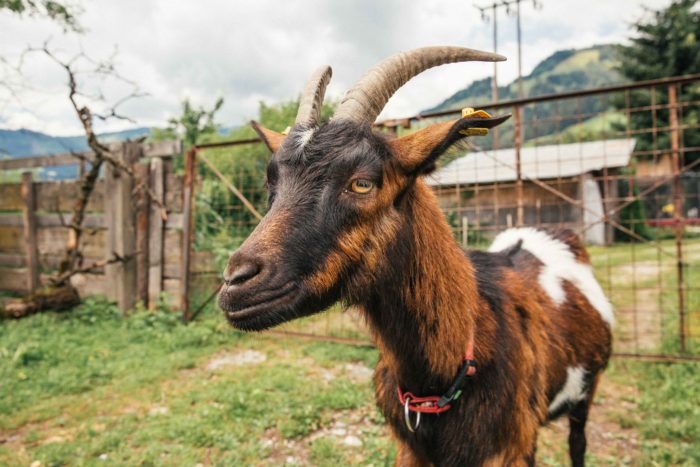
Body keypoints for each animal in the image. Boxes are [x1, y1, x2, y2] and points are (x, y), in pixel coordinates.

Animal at [218, 46, 613, 466]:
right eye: (271, 182)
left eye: (362, 183)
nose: (235, 282)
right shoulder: (409, 449)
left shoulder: (511, 449)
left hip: (587, 389)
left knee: (578, 441)